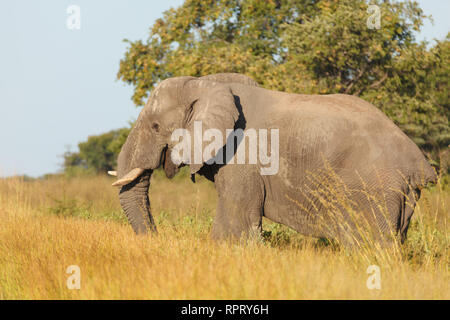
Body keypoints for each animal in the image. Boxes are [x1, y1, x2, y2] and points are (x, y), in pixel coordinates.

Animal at [110, 73, 438, 248]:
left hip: (375, 187)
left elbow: (236, 225)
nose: (155, 237)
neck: (205, 84)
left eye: (155, 126)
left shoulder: (243, 155)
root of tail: (419, 162)